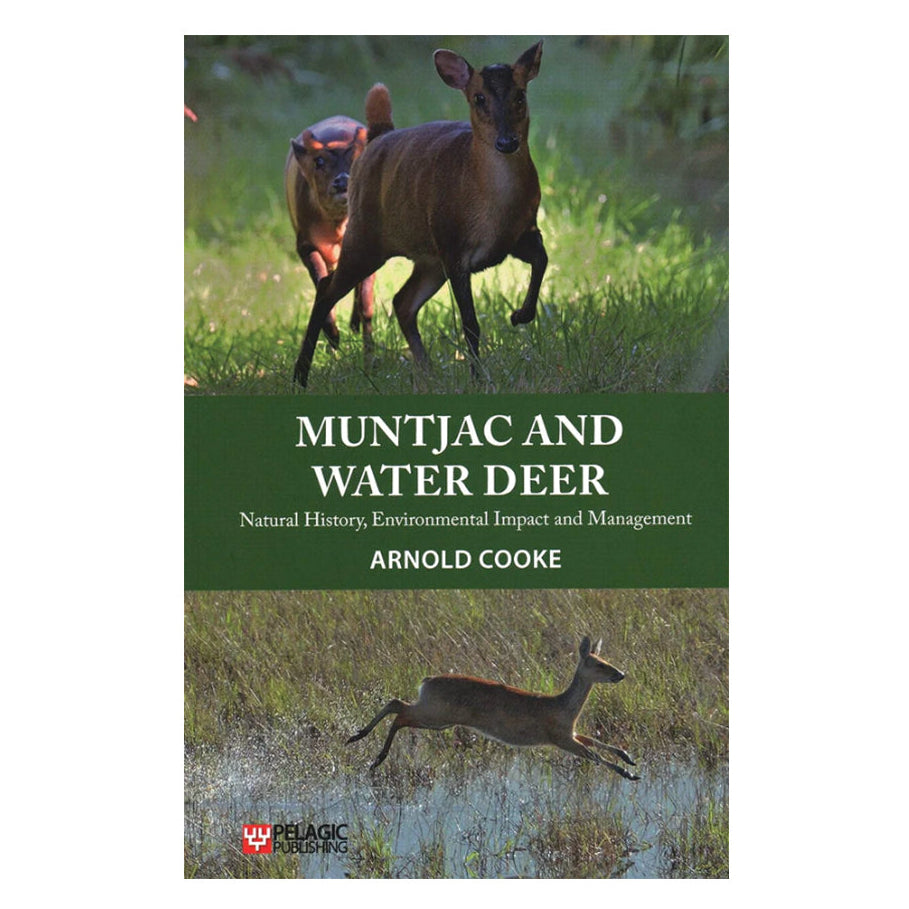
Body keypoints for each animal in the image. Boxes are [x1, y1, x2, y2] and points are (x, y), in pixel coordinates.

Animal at [284, 114, 376, 351]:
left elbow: (366, 300)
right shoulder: (304, 243)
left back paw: (354, 325)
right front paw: (333, 335)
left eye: (358, 157)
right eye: (319, 161)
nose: (342, 181)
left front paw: (368, 345)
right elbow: (320, 281)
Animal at [346, 636, 640, 780]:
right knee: (400, 711)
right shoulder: (559, 737)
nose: (621, 674)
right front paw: (629, 774)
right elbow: (594, 755)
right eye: (599, 663)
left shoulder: (570, 733)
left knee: (397, 705)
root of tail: (426, 681)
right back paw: (374, 754)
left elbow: (596, 743)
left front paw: (628, 757)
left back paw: (360, 740)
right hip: (436, 714)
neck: (564, 706)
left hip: (436, 715)